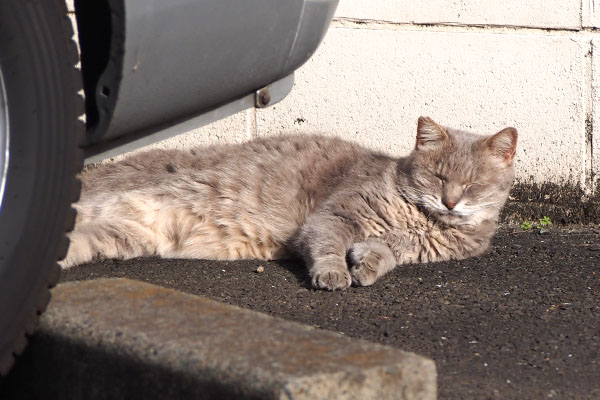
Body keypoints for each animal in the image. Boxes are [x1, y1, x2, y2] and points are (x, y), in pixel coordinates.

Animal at [63, 116, 516, 290]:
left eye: (472, 184)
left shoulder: (402, 246)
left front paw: (366, 268)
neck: (421, 220)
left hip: (125, 235)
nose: (450, 201)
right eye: (439, 176)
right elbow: (328, 245)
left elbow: (384, 255)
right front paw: (334, 273)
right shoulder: (335, 215)